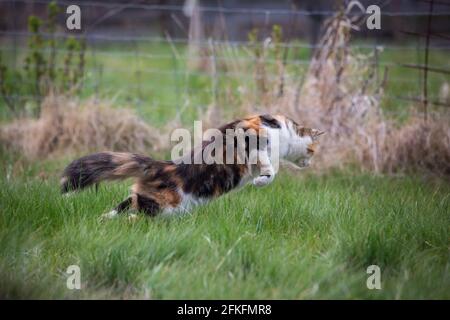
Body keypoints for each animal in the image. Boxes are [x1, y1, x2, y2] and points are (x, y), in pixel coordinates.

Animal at [61, 114, 326, 219]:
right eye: (313, 150)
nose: (310, 163)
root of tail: (161, 166)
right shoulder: (252, 135)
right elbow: (269, 168)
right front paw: (262, 179)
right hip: (161, 208)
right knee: (134, 218)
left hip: (146, 201)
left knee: (121, 209)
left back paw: (103, 220)